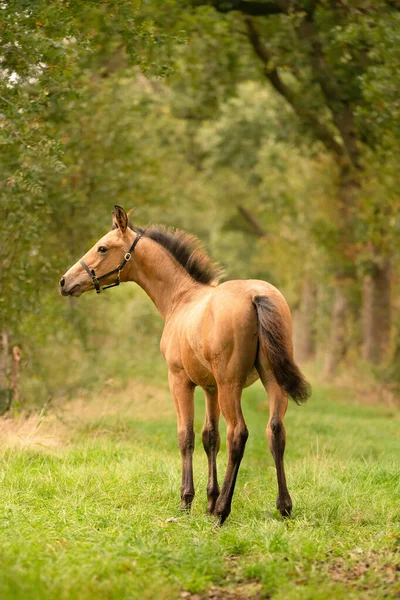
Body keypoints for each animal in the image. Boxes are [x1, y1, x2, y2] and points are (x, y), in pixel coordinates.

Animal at [60, 207, 310, 524]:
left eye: (102, 248)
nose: (65, 282)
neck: (181, 299)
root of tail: (256, 295)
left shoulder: (180, 381)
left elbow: (186, 436)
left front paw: (187, 501)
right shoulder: (210, 387)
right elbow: (210, 437)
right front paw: (208, 499)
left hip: (231, 384)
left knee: (238, 433)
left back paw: (222, 512)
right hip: (269, 380)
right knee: (275, 430)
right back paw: (283, 506)